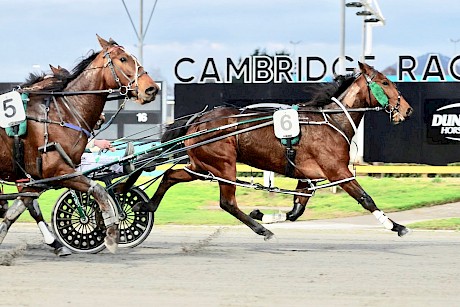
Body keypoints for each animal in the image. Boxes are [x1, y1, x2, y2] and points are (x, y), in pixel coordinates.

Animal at [0, 35, 159, 255]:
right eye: (123, 59)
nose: (151, 88)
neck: (60, 114)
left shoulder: (35, 178)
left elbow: (19, 209)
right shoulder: (56, 171)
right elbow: (98, 191)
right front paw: (110, 234)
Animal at [135, 62, 416, 241]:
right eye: (385, 82)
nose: (407, 109)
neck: (331, 122)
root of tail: (197, 118)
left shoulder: (308, 177)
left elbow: (295, 212)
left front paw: (262, 213)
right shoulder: (338, 171)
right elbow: (366, 198)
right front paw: (396, 225)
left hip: (203, 166)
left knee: (170, 176)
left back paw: (147, 205)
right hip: (223, 165)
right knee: (227, 202)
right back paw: (262, 231)